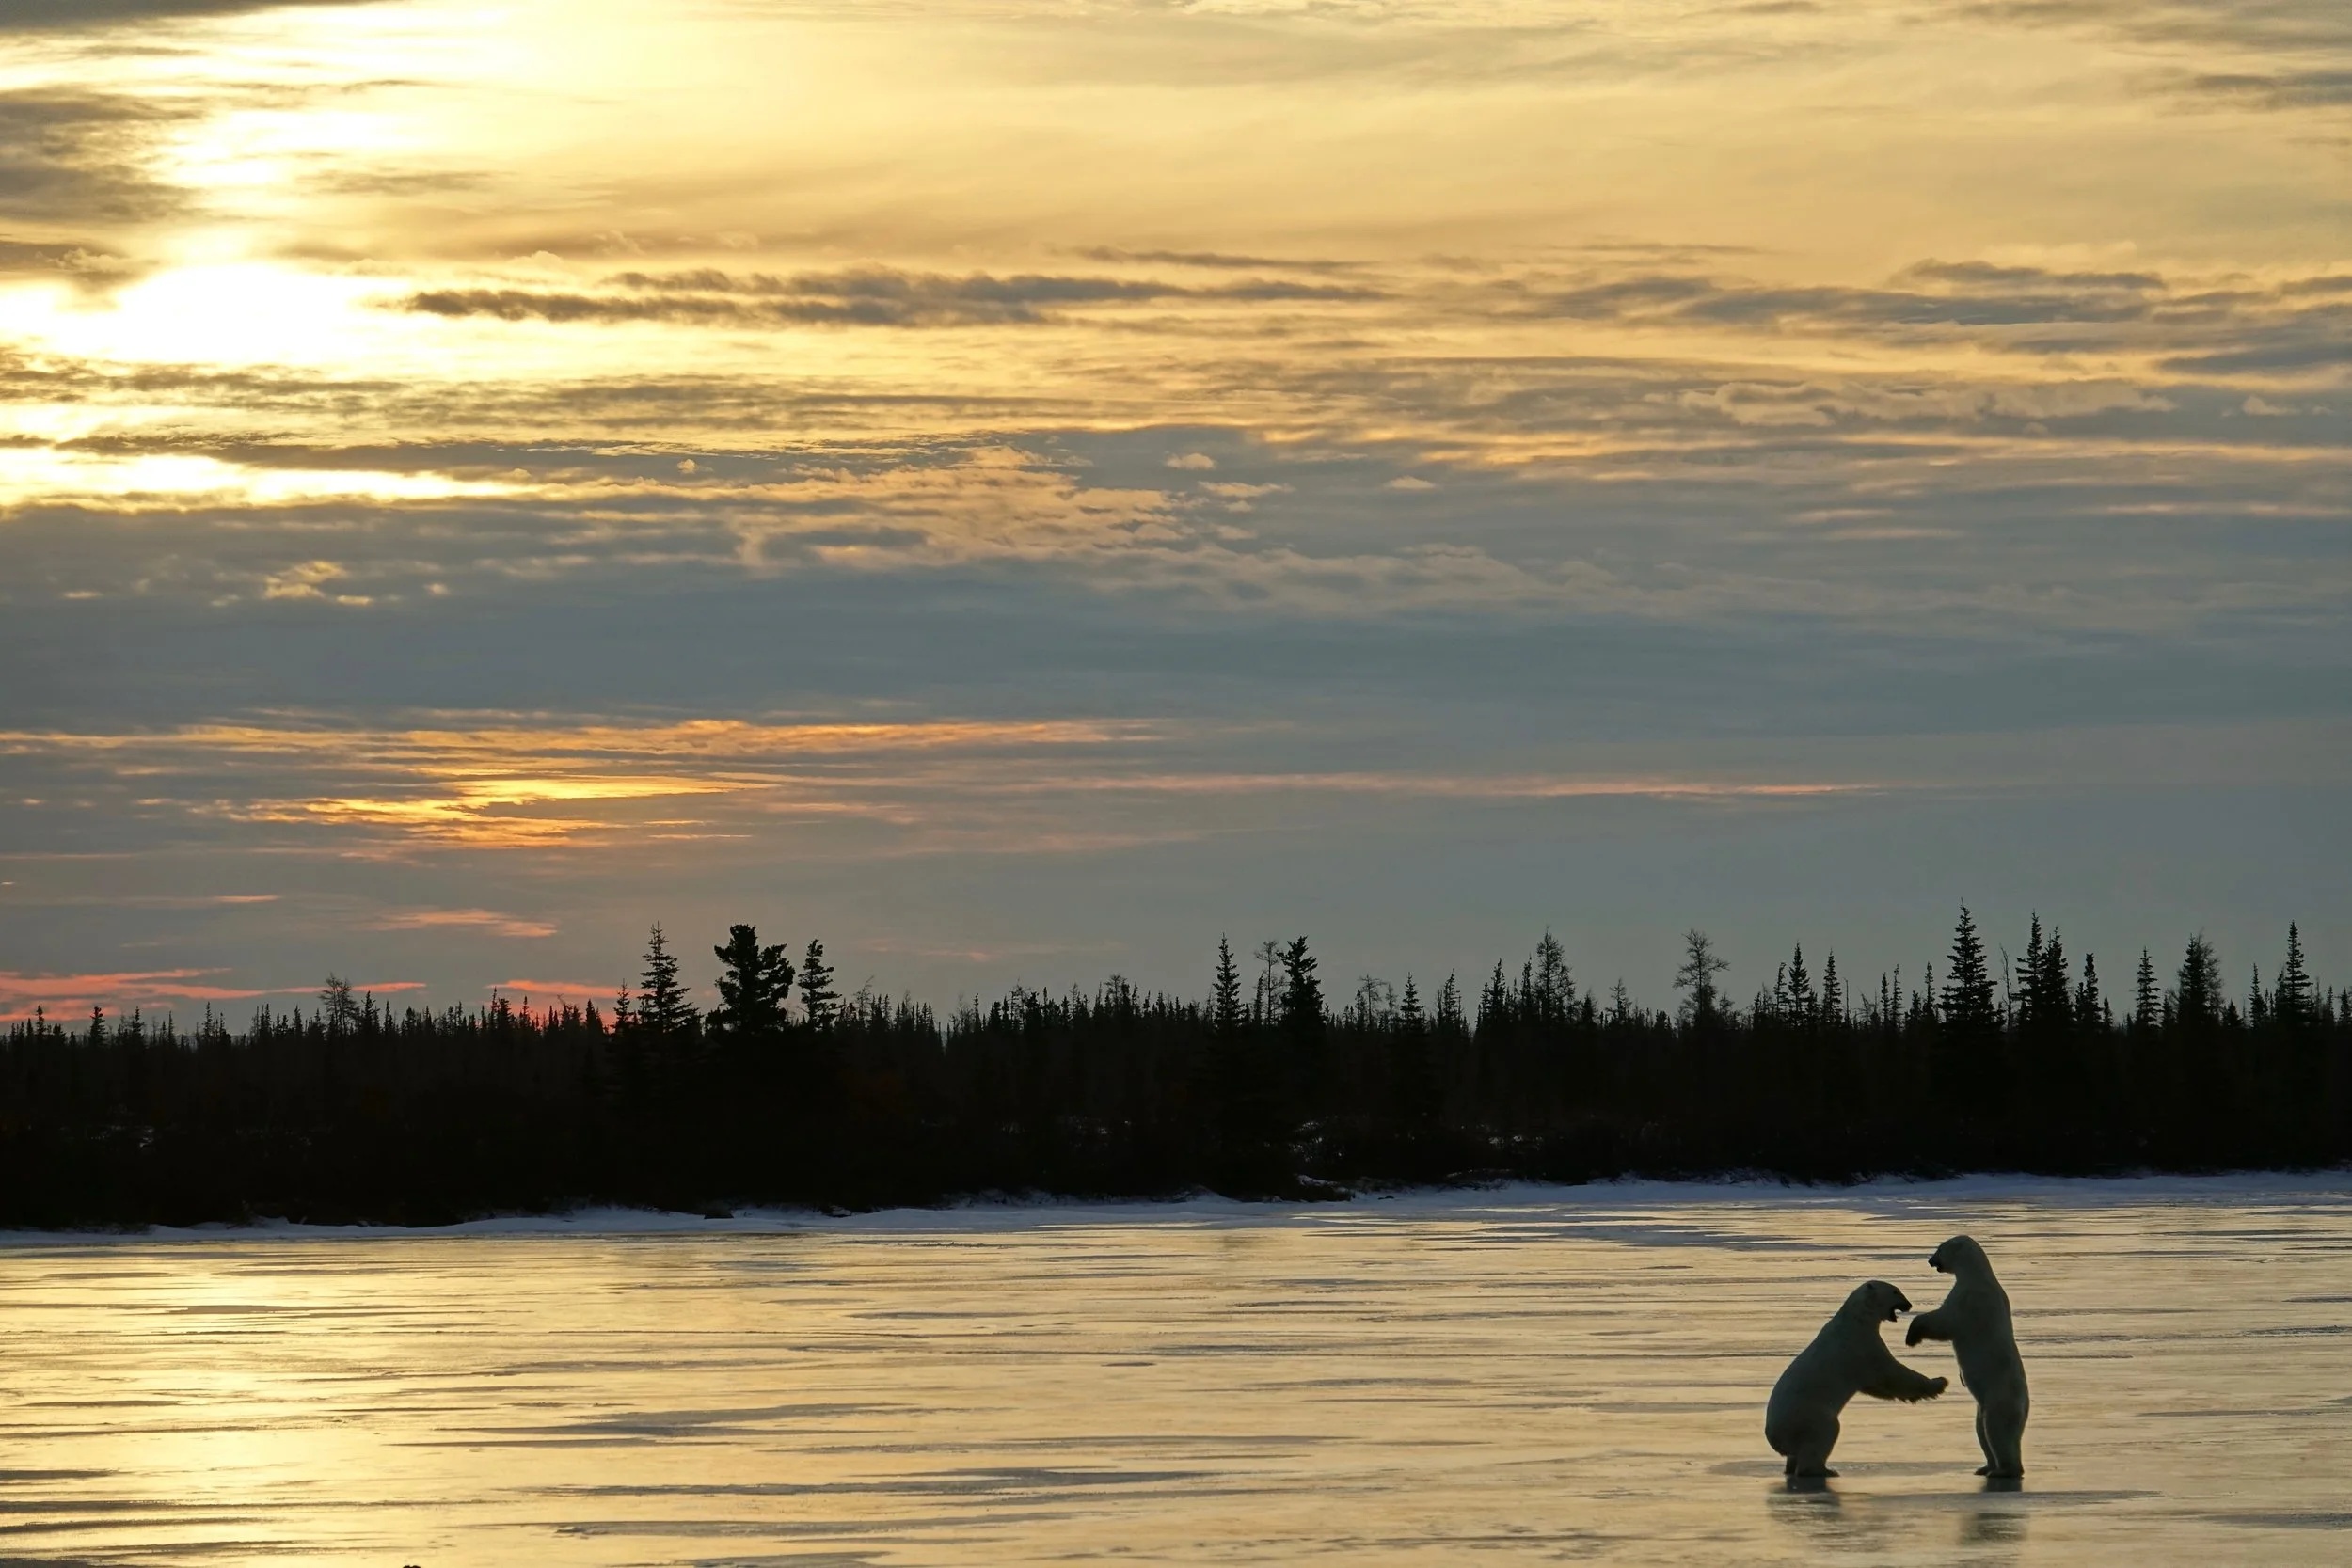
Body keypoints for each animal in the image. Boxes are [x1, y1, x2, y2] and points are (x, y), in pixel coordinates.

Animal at [1765, 1279, 1948, 1478]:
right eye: (1895, 1292)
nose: (1909, 1305)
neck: (1856, 1319)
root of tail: (1775, 1437)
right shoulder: (1863, 1346)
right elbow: (1891, 1373)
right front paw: (1939, 1382)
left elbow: (1876, 1386)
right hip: (1808, 1417)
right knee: (1823, 1436)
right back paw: (1823, 1470)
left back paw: (1792, 1468)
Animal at [1905, 1234, 2029, 1478]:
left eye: (1939, 1249)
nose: (1930, 1260)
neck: (1978, 1274)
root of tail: (2025, 1405)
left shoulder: (1968, 1298)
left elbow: (1944, 1321)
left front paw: (1911, 1335)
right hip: (1986, 1406)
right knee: (1982, 1431)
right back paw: (1985, 1467)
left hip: (2000, 1398)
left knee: (1998, 1431)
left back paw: (2003, 1470)